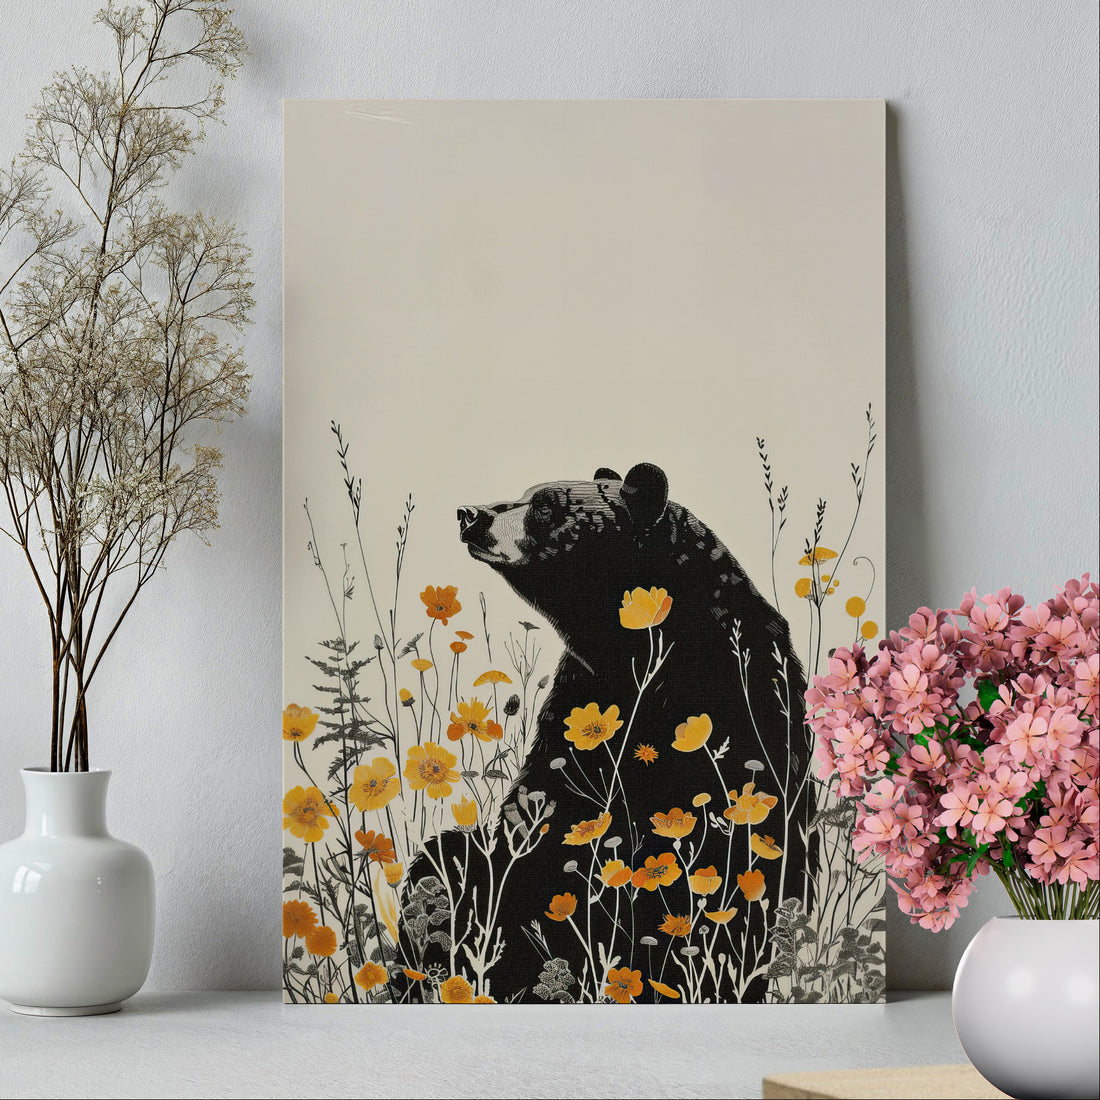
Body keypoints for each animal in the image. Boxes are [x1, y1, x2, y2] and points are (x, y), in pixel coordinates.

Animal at [400, 462, 813, 1004]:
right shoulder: (579, 697)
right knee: (446, 859)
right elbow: (543, 801)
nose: (470, 513)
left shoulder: (737, 691)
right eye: (526, 496)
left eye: (544, 506)